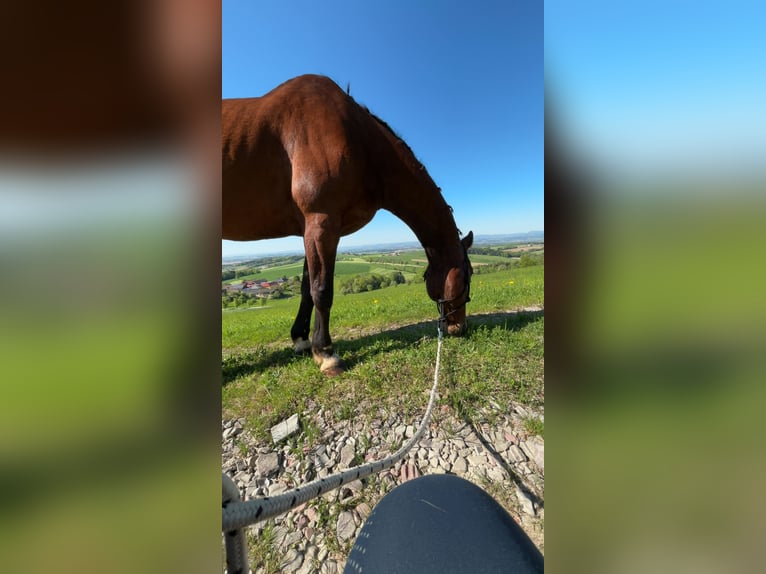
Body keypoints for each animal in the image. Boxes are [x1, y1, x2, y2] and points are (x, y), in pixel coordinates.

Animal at [223, 74, 473, 375]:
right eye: (468, 276)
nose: (460, 327)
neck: (358, 137)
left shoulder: (310, 229)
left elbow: (307, 289)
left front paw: (302, 340)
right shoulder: (322, 223)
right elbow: (321, 290)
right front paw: (326, 354)